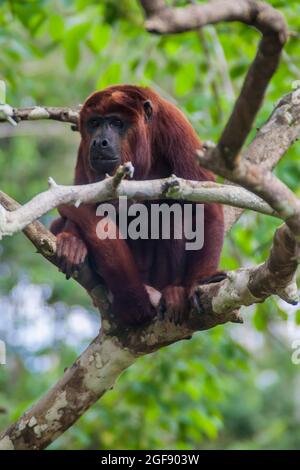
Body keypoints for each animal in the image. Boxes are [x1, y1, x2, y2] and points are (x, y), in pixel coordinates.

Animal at [51, 85, 225, 324]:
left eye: (117, 122)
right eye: (94, 123)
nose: (99, 142)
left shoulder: (175, 126)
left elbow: (205, 206)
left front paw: (199, 281)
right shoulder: (83, 149)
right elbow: (79, 202)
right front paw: (72, 241)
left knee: (171, 212)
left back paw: (172, 292)